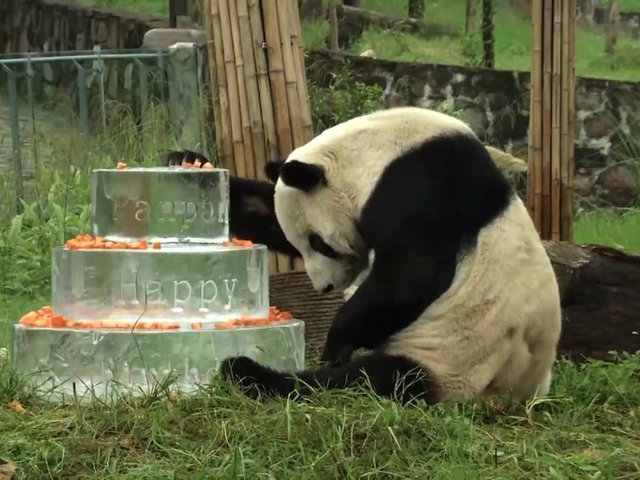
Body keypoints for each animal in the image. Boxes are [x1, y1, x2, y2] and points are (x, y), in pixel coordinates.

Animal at [170, 106, 561, 406]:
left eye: (320, 243)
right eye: (304, 245)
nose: (324, 288)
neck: (375, 152)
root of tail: (514, 396)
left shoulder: (426, 188)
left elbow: (413, 277)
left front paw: (336, 342)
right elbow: (265, 212)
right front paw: (188, 162)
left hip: (455, 359)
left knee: (374, 379)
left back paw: (249, 372)